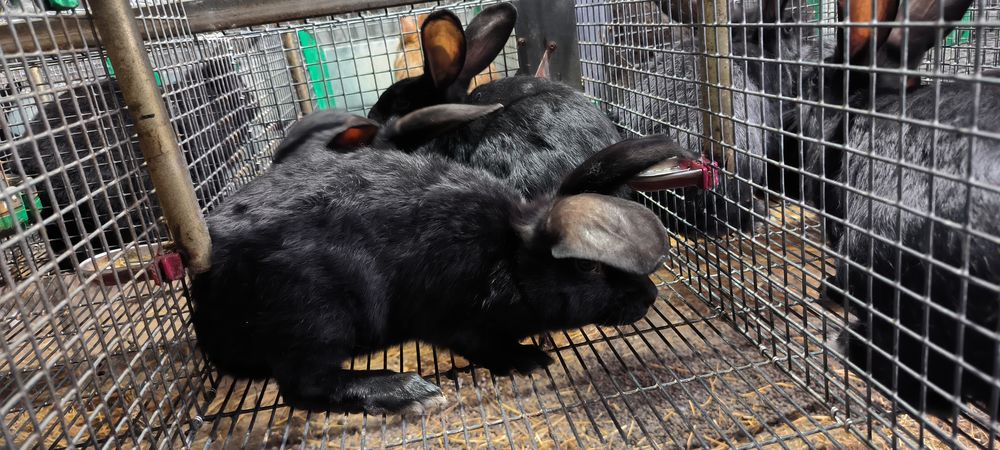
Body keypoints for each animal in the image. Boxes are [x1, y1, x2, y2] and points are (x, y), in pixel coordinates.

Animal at [191, 101, 695, 415]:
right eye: (587, 266)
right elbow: (484, 346)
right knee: (305, 383)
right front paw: (530, 359)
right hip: (315, 313)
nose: (648, 298)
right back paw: (407, 392)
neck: (510, 256)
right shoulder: (459, 319)